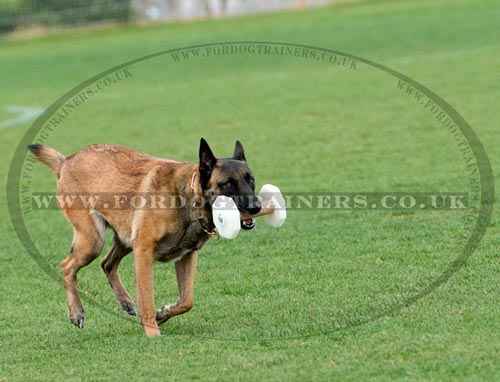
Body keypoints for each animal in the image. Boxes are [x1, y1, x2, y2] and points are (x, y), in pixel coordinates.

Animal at [28, 139, 262, 336]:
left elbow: (187, 300)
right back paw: (76, 312)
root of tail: (65, 161)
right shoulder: (143, 254)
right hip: (93, 240)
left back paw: (125, 301)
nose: (256, 206)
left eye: (250, 180)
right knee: (68, 266)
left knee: (107, 264)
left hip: (124, 239)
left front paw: (163, 314)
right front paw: (152, 333)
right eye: (228, 184)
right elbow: (148, 300)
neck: (186, 197)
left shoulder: (186, 256)